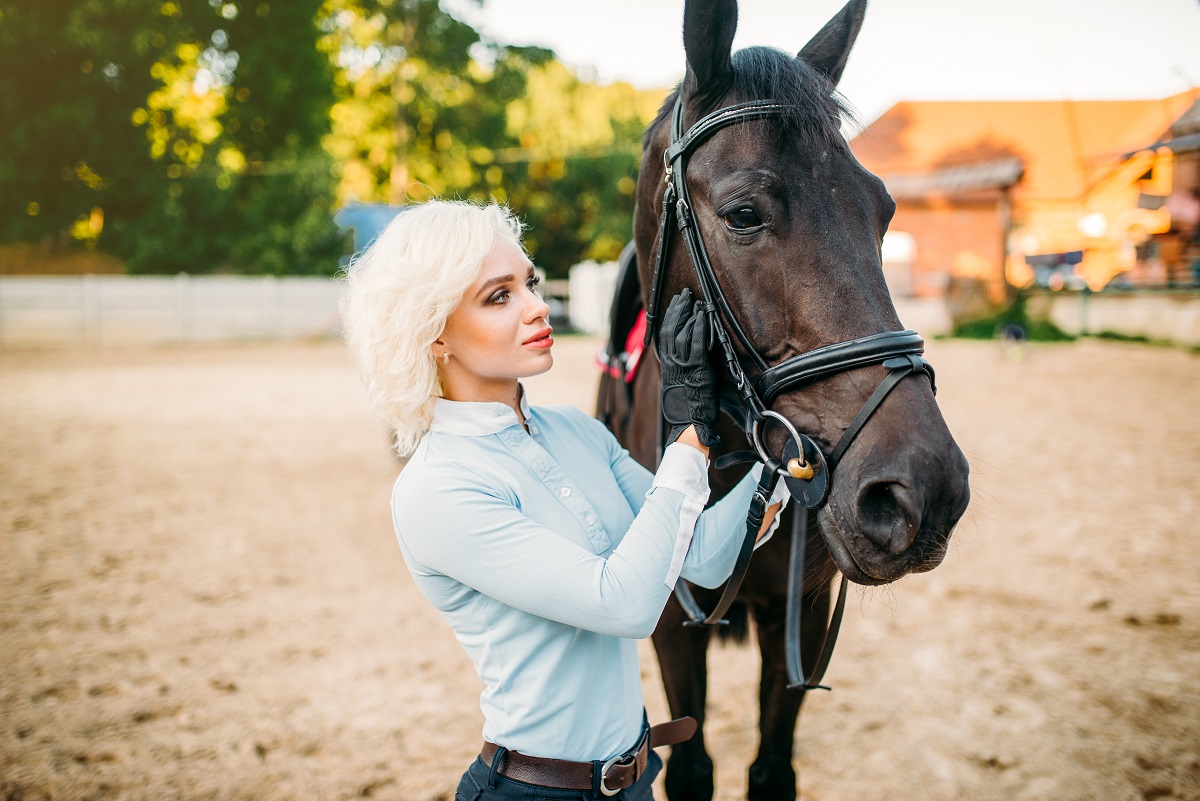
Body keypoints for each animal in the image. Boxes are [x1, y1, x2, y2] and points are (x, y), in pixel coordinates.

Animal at [595, 1, 969, 801]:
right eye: (743, 214)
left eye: (884, 210)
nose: (924, 490)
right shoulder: (672, 630)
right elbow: (692, 768)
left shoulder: (800, 612)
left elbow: (771, 770)